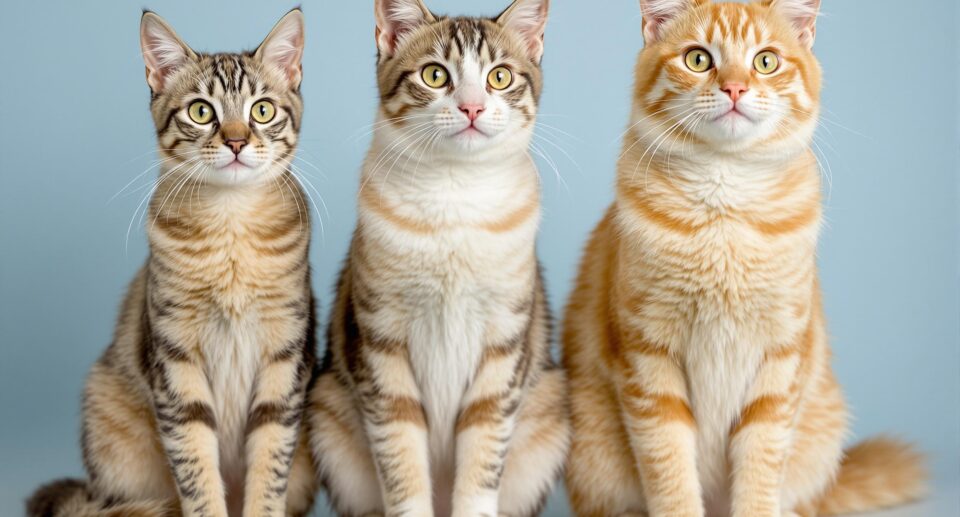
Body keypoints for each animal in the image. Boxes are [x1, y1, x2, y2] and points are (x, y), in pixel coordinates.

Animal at [25, 8, 318, 516]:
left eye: (262, 110)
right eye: (202, 112)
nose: (236, 142)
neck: (231, 231)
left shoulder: (284, 357)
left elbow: (269, 468)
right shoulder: (176, 362)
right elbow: (197, 471)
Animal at [306, 1, 568, 516]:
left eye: (500, 77)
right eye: (434, 74)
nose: (472, 107)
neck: (455, 194)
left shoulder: (503, 341)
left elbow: (483, 455)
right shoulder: (382, 339)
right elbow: (401, 456)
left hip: (549, 411)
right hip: (327, 413)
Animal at [564, 1, 924, 516]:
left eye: (765, 61)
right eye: (698, 59)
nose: (735, 88)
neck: (725, 206)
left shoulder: (779, 359)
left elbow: (759, 466)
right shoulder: (647, 356)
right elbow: (670, 468)